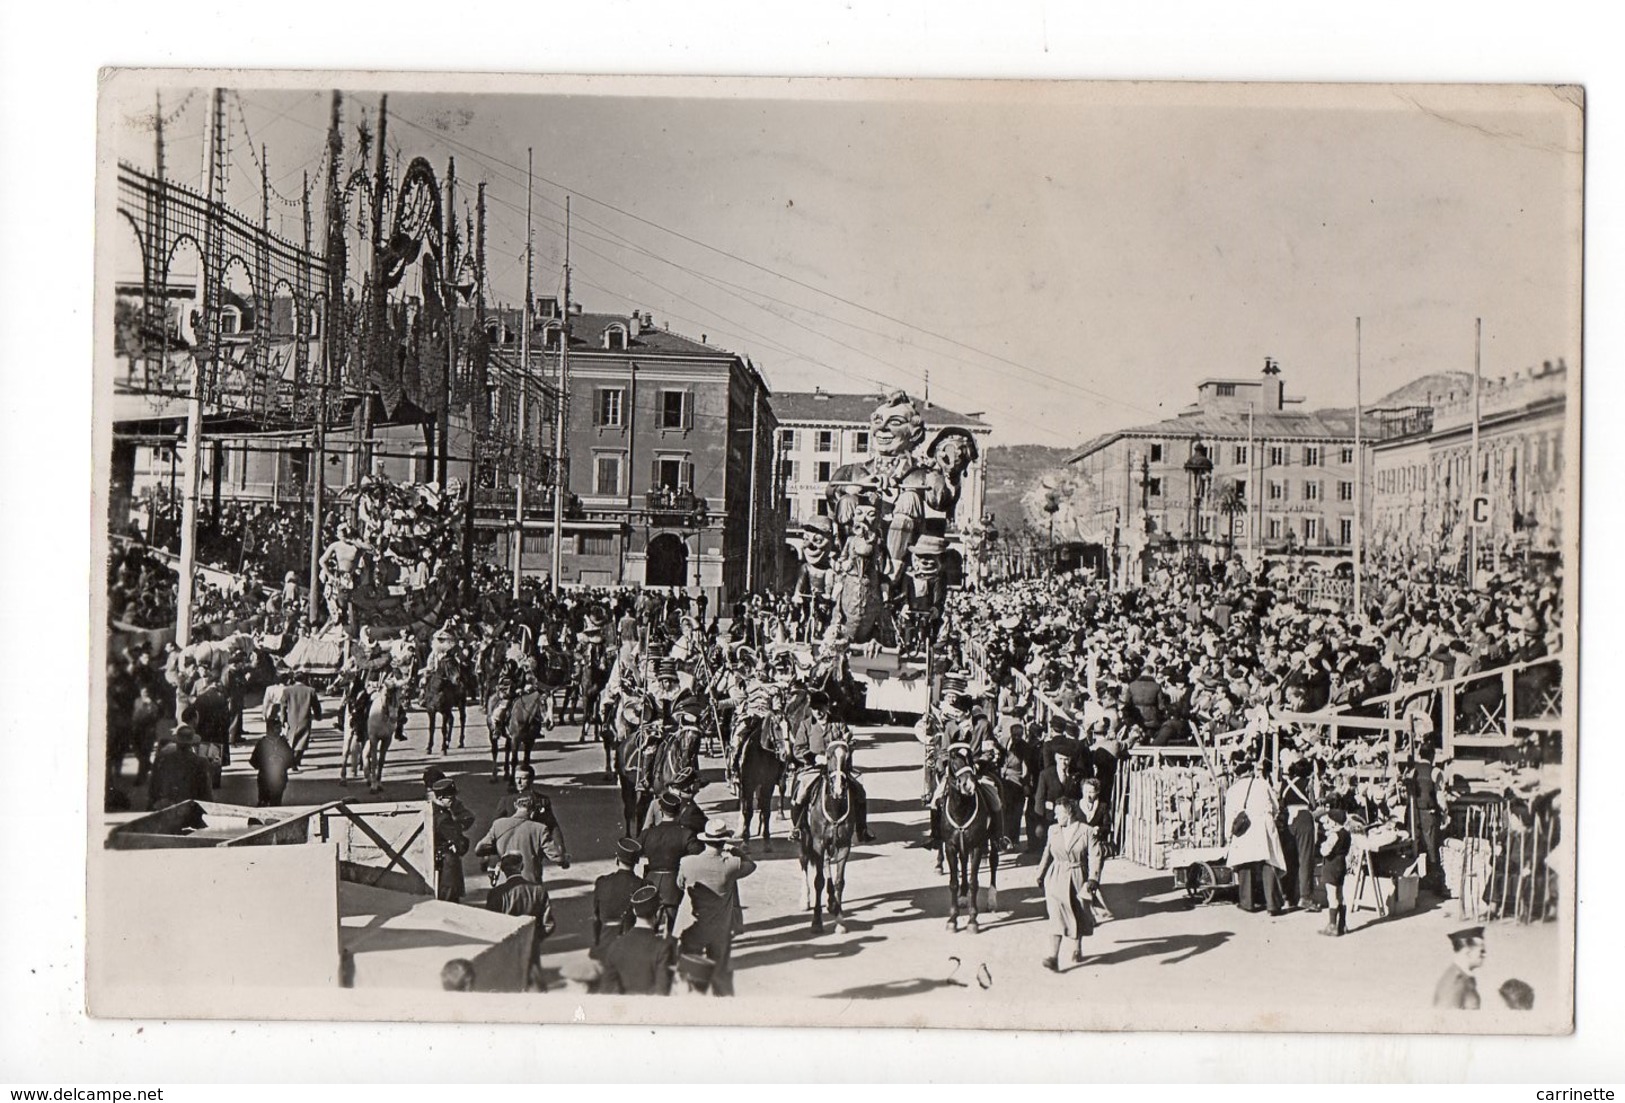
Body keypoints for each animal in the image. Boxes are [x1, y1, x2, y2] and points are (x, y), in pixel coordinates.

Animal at [737, 711, 786, 857]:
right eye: (777, 728)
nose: (784, 754)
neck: (761, 753)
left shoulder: (767, 785)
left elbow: (766, 812)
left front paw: (767, 841)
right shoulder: (748, 784)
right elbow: (747, 812)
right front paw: (745, 843)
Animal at [793, 740, 858, 929]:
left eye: (848, 757)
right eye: (828, 757)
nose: (839, 789)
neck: (834, 806)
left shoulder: (843, 845)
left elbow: (839, 881)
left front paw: (840, 919)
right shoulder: (818, 844)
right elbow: (818, 881)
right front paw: (816, 921)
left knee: (827, 864)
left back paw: (831, 902)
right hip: (804, 838)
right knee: (804, 861)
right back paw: (805, 900)